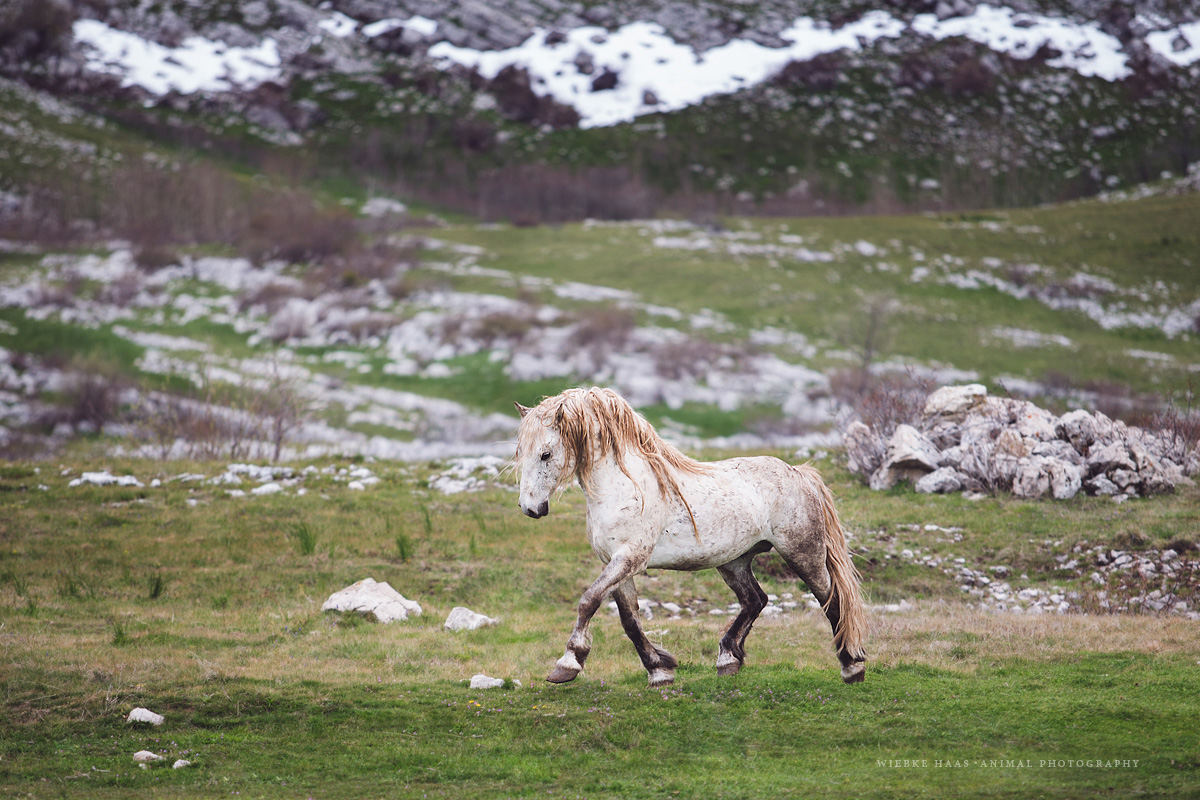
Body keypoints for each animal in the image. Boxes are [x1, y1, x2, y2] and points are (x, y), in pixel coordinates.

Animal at [513, 386, 867, 687]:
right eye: (520, 453)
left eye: (545, 454)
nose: (531, 508)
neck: (624, 487)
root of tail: (799, 474)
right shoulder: (616, 565)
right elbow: (629, 620)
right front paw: (659, 670)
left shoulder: (629, 559)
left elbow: (588, 601)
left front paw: (567, 664)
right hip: (734, 562)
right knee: (756, 600)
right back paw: (728, 659)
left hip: (802, 554)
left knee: (831, 600)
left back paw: (852, 666)